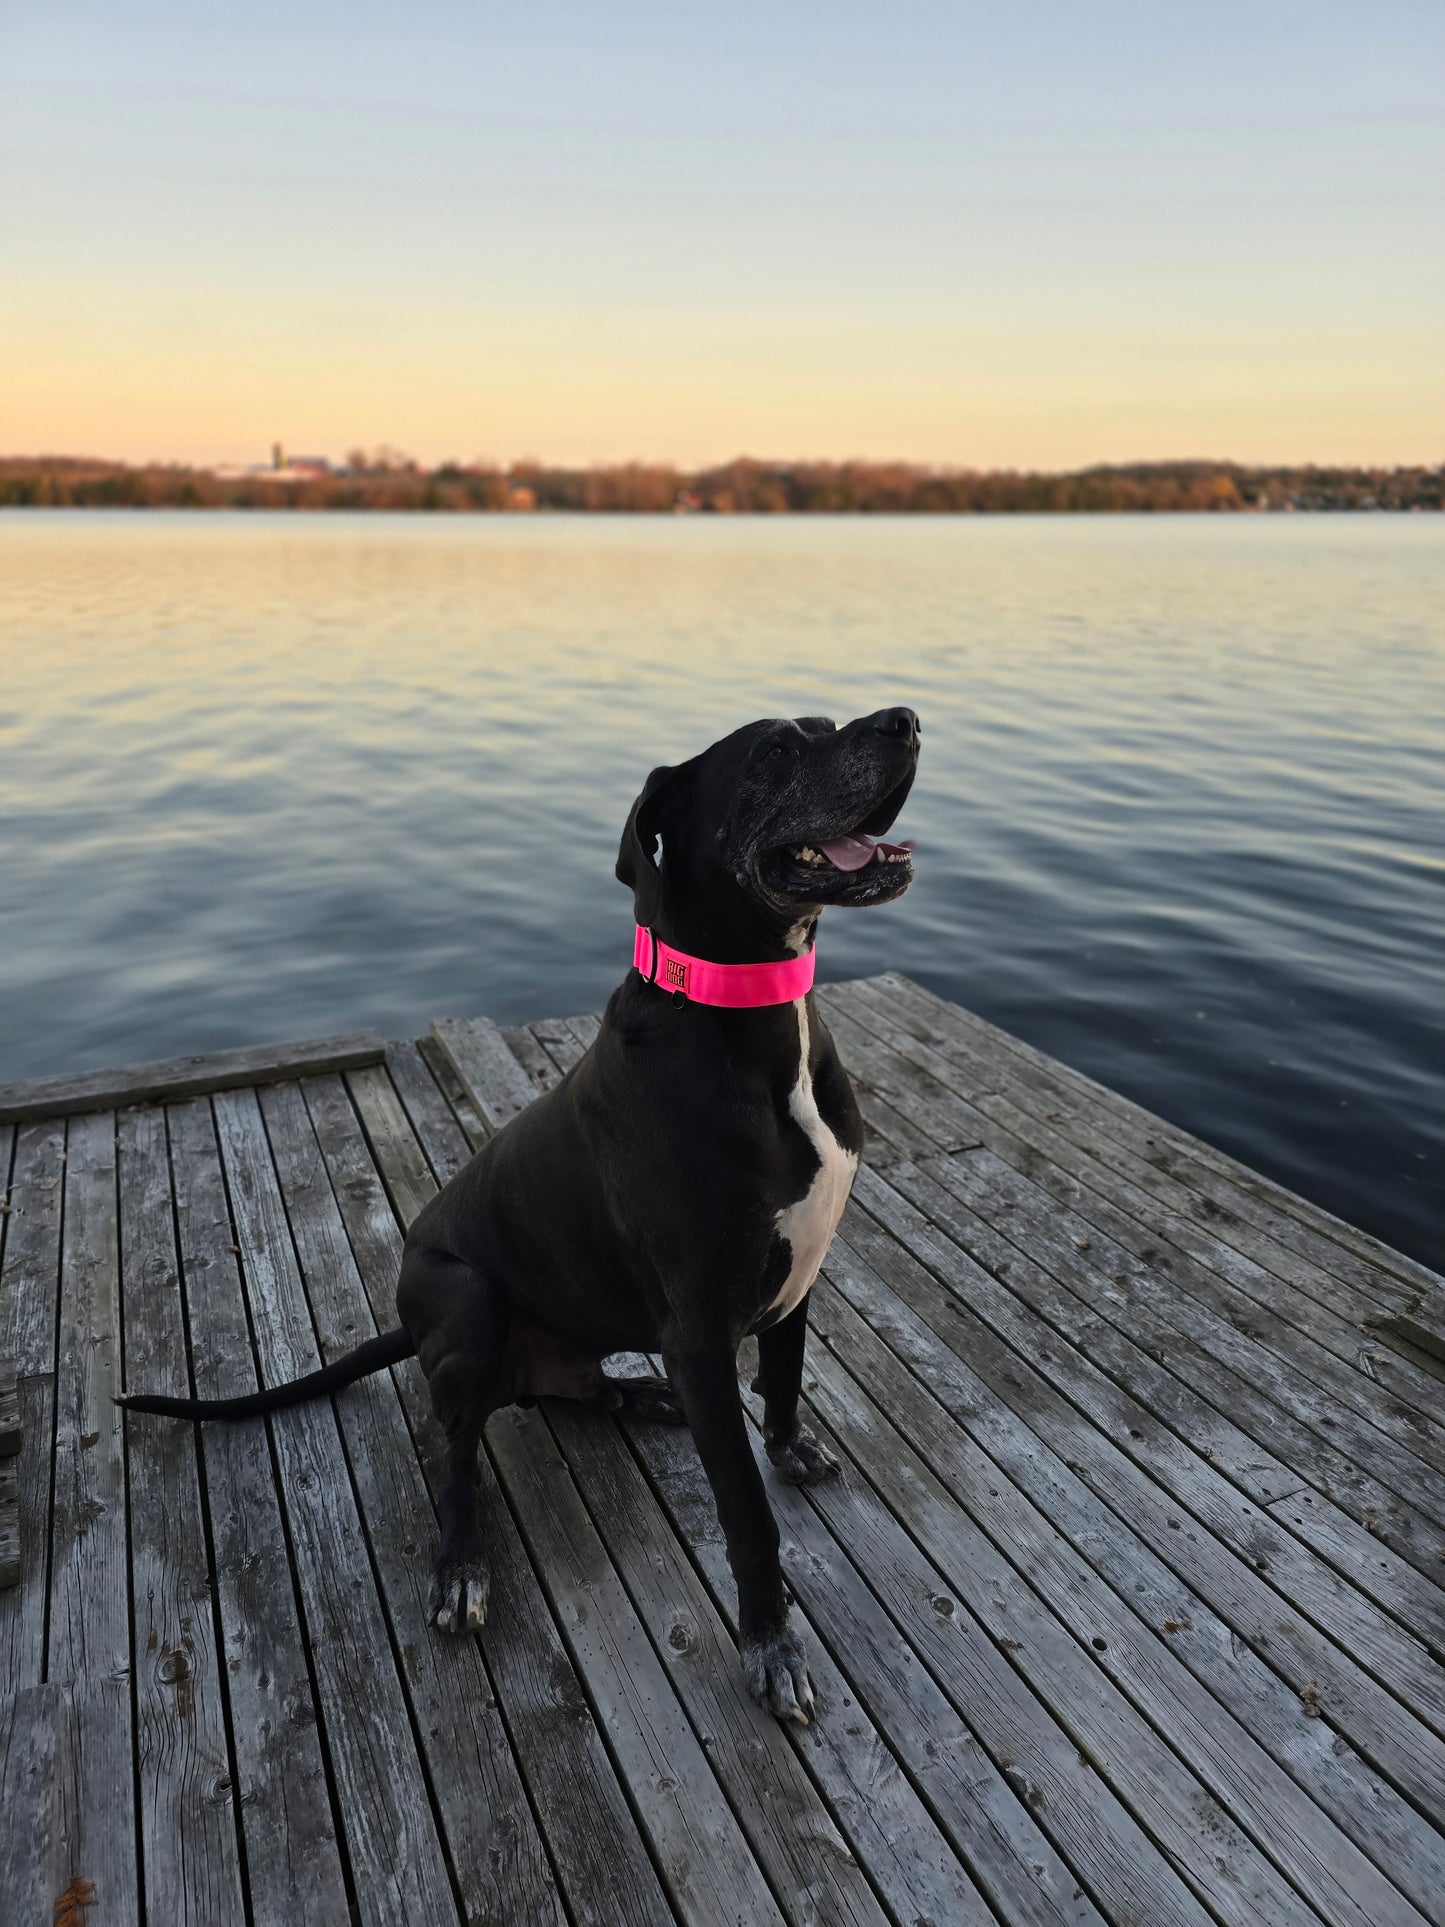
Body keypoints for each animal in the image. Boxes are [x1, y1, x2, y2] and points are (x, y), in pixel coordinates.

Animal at [121, 705, 917, 1718]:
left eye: (822, 723)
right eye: (773, 750)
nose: (905, 720)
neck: (755, 1020)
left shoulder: (798, 1275)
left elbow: (781, 1383)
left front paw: (791, 1450)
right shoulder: (700, 1326)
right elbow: (746, 1511)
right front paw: (771, 1643)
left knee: (568, 1392)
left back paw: (638, 1393)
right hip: (465, 1307)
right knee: (454, 1457)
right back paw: (462, 1567)